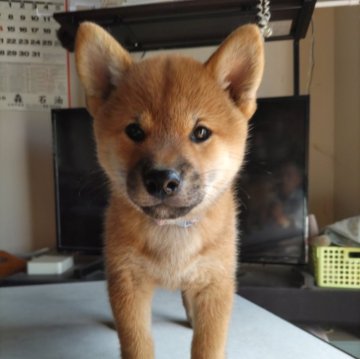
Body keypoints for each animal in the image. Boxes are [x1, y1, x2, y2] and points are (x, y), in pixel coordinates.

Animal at [74, 21, 264, 359]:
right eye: (134, 131)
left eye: (200, 132)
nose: (162, 179)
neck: (172, 232)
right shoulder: (128, 283)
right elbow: (136, 342)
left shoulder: (215, 283)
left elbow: (208, 345)